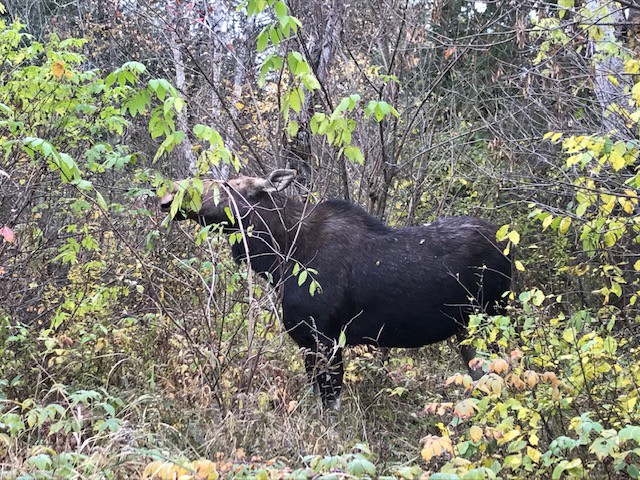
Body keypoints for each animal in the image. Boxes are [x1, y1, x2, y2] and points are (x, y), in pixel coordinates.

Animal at [160, 171, 510, 406]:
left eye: (229, 186)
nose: (169, 194)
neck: (278, 260)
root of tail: (509, 246)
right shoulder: (307, 340)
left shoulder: (326, 338)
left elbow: (330, 403)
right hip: (468, 328)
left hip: (492, 319)